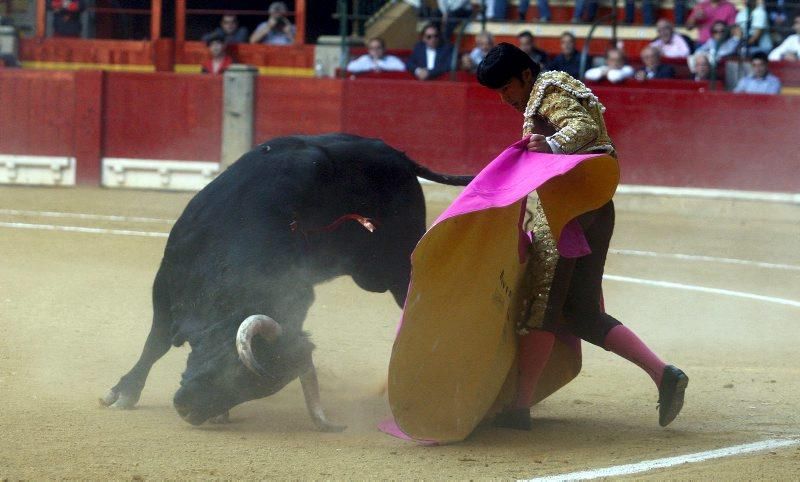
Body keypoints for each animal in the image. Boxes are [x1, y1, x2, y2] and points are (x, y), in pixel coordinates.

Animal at [101, 133, 476, 430]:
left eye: (249, 388)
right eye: (232, 368)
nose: (189, 411)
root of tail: (400, 157)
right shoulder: (164, 285)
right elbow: (156, 342)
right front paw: (123, 393)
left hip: (393, 267)